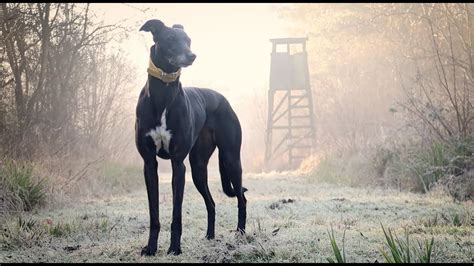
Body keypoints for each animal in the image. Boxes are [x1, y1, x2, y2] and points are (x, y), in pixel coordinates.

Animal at [135, 18, 248, 256]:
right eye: (170, 39)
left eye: (188, 40)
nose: (191, 55)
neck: (163, 92)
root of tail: (222, 98)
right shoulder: (149, 164)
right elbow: (154, 213)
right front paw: (151, 248)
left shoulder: (178, 164)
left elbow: (176, 214)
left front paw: (174, 248)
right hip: (198, 168)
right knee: (211, 203)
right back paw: (210, 236)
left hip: (231, 159)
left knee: (241, 198)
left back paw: (241, 233)